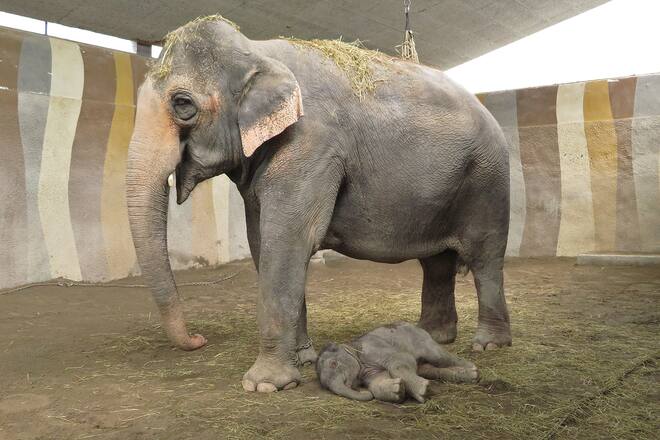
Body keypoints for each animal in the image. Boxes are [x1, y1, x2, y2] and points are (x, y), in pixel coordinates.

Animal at [126, 15, 512, 394]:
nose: (199, 339)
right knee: (436, 264)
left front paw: (264, 385)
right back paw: (433, 335)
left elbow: (288, 241)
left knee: (485, 257)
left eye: (183, 105)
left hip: (488, 178)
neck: (256, 50)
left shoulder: (312, 144)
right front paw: (302, 359)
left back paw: (489, 344)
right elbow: (262, 243)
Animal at [316, 322, 479, 403]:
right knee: (429, 369)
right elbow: (378, 381)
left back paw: (473, 370)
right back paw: (469, 375)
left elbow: (401, 359)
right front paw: (398, 390)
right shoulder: (366, 371)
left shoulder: (373, 348)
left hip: (422, 340)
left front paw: (423, 391)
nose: (362, 390)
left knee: (439, 357)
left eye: (333, 364)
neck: (352, 345)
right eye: (324, 386)